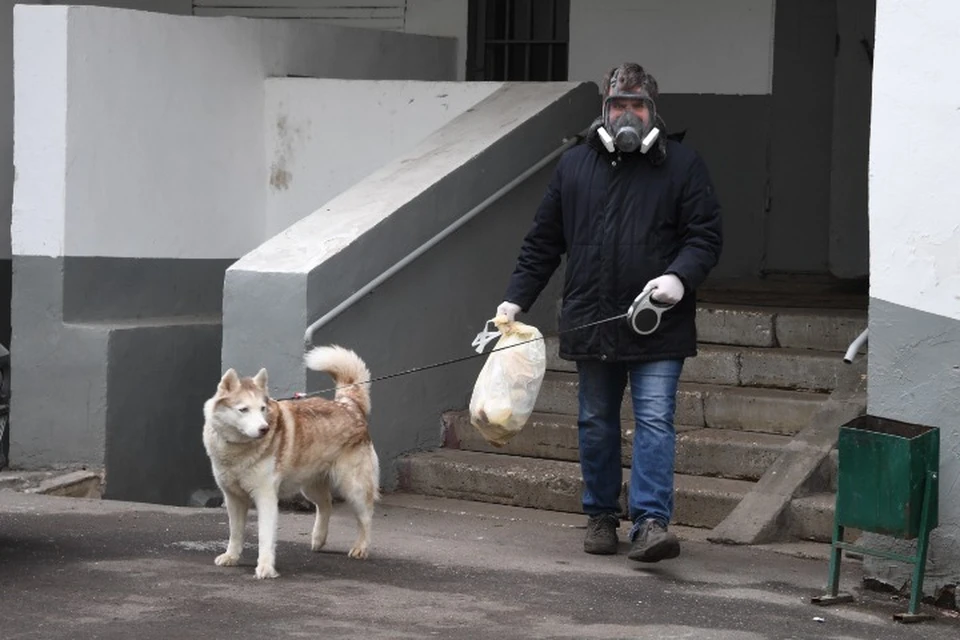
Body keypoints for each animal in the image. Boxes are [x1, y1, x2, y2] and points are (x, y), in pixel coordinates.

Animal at [202, 344, 378, 580]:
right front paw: (231, 556)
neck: (238, 449)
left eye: (262, 409)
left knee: (365, 517)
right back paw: (318, 538)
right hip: (310, 486)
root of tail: (347, 405)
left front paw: (266, 568)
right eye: (243, 409)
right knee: (326, 504)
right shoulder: (233, 498)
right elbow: (235, 532)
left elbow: (265, 536)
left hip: (353, 486)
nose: (264, 429)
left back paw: (361, 547)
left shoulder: (266, 496)